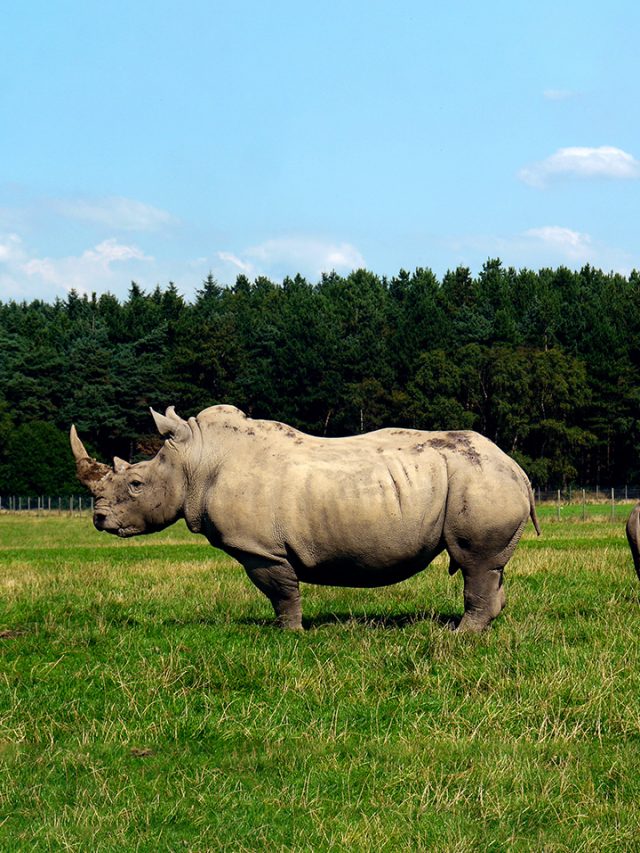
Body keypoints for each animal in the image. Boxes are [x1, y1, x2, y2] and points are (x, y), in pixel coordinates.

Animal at [70, 405, 540, 632]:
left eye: (135, 485)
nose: (99, 520)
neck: (197, 458)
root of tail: (517, 468)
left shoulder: (260, 549)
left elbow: (280, 592)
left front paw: (288, 634)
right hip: (482, 480)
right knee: (489, 567)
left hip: (481, 480)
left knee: (475, 562)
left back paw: (460, 636)